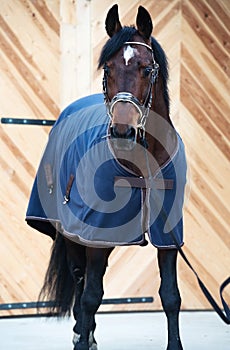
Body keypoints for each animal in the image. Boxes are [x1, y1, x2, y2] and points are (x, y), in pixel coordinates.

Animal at [26, 5, 187, 350]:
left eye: (146, 68)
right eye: (108, 69)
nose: (123, 132)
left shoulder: (167, 235)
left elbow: (171, 296)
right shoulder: (95, 234)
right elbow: (90, 296)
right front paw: (82, 340)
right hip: (75, 233)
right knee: (81, 278)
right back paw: (81, 333)